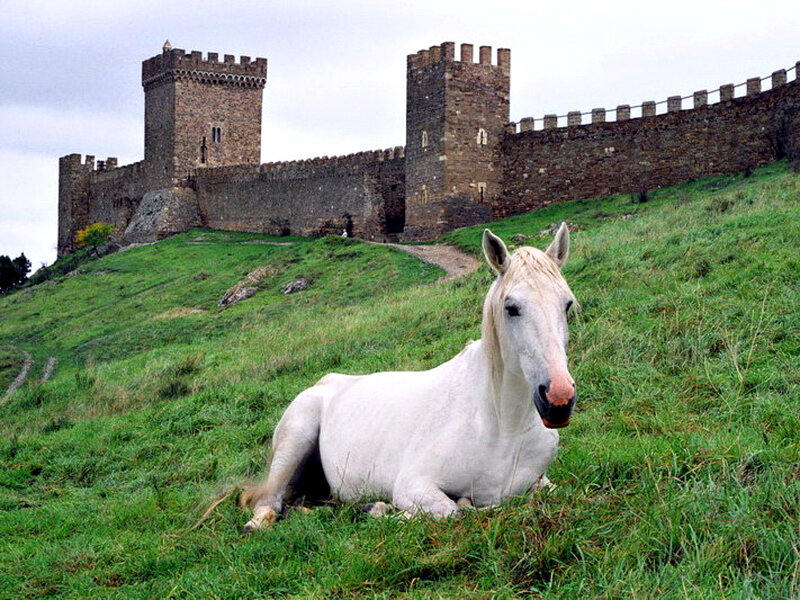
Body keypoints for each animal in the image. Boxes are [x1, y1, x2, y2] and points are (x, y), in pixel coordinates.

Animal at [242, 224, 577, 531]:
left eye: (567, 304)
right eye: (511, 308)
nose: (558, 399)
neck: (502, 428)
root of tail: (325, 382)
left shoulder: (542, 481)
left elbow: (543, 493)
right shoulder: (414, 485)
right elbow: (452, 511)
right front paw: (380, 510)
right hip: (294, 440)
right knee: (268, 503)